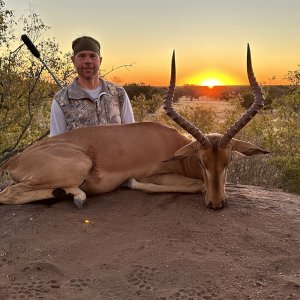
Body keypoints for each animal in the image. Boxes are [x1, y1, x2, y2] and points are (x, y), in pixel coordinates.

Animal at [0, 45, 270, 209]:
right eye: (203, 161)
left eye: (228, 161)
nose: (216, 204)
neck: (176, 148)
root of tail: (14, 160)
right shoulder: (158, 175)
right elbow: (198, 184)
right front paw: (130, 183)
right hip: (77, 166)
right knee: (7, 194)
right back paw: (77, 196)